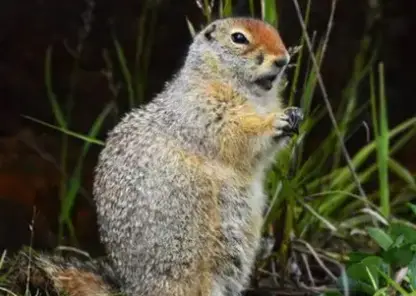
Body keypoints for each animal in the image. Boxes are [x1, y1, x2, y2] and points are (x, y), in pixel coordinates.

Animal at [0, 17, 302, 296]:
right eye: (239, 38)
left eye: (275, 32)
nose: (283, 59)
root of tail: (132, 289)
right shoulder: (204, 107)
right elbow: (236, 131)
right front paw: (275, 121)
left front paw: (295, 114)